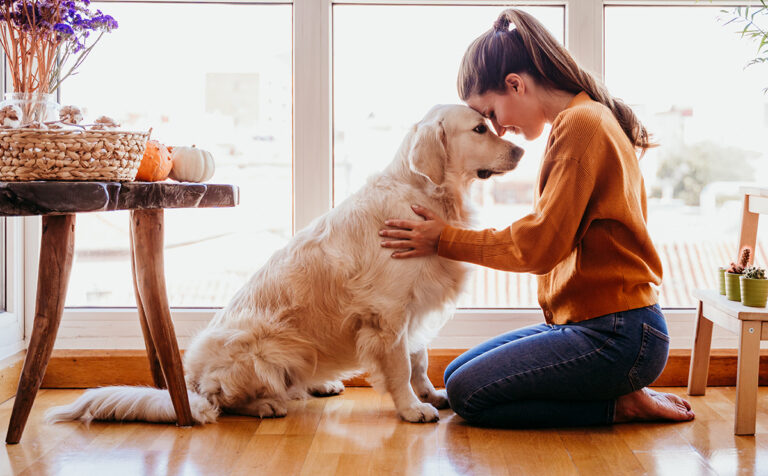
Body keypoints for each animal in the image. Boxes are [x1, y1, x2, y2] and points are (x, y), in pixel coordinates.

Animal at [46, 104, 520, 424]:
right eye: (480, 129)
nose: (519, 149)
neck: (426, 195)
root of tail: (191, 383)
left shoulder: (414, 306)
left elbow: (419, 360)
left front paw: (431, 394)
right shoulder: (388, 312)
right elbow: (401, 366)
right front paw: (412, 408)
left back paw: (320, 383)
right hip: (264, 348)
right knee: (224, 402)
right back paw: (267, 403)